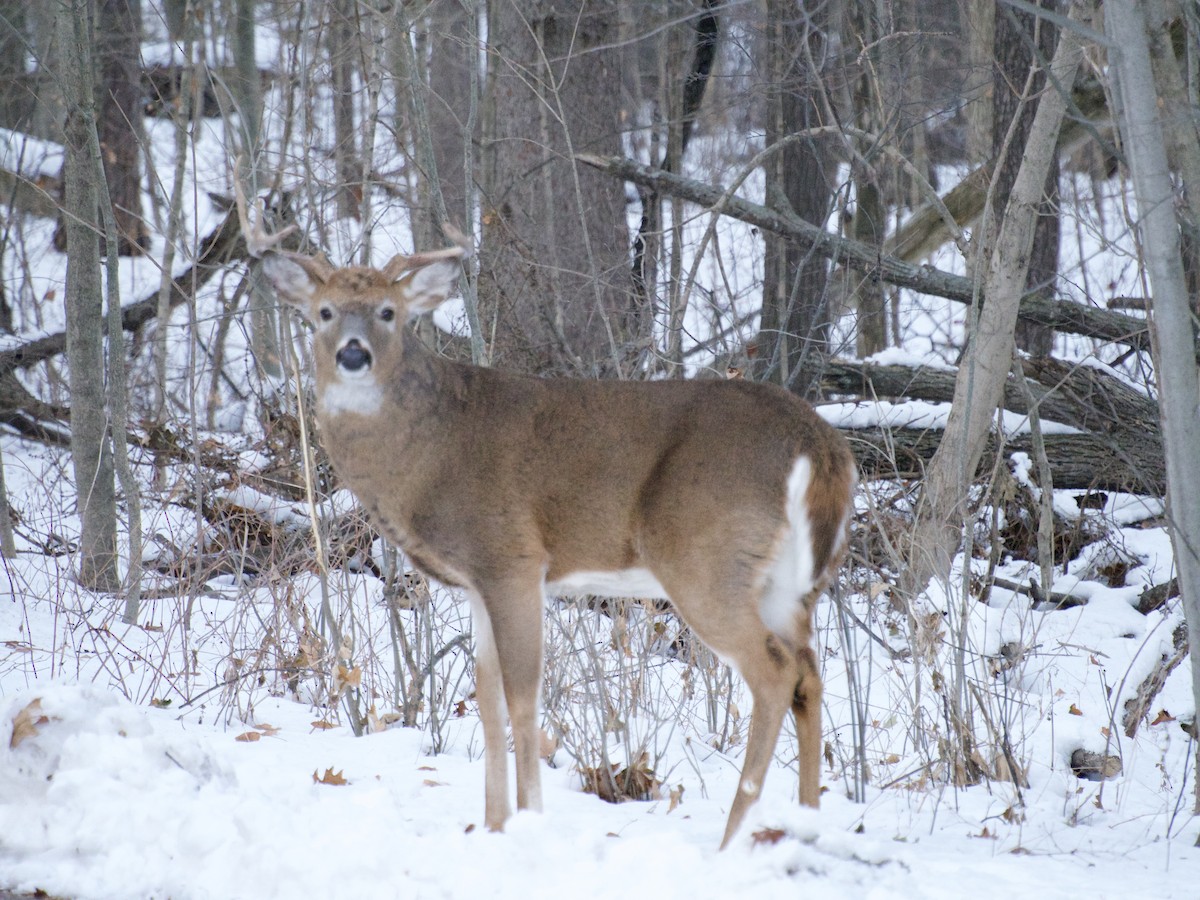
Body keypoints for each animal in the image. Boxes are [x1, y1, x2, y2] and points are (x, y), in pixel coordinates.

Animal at [237, 188, 856, 850]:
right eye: (325, 312)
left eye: (387, 312)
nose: (353, 353)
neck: (429, 451)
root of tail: (821, 446)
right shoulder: (477, 582)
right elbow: (486, 699)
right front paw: (492, 825)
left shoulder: (512, 557)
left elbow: (522, 696)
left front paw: (528, 819)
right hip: (789, 581)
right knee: (809, 674)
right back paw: (807, 820)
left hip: (706, 557)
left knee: (774, 671)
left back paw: (733, 838)